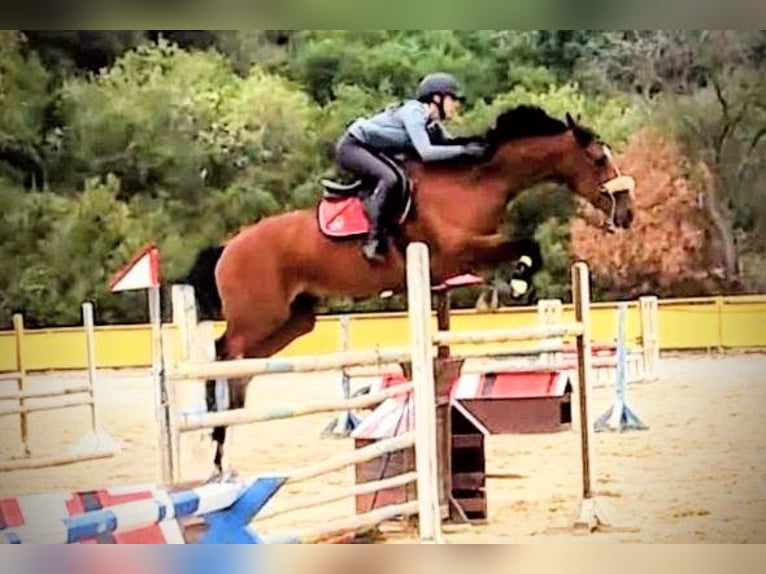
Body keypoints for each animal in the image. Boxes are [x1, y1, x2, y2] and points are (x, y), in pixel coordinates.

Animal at [182, 105, 637, 476]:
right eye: (599, 158)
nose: (627, 213)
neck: (474, 183)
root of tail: (229, 247)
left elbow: (518, 250)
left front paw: (510, 285)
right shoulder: (457, 252)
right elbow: (525, 244)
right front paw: (521, 279)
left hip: (295, 319)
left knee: (241, 366)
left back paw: (223, 442)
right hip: (260, 314)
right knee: (224, 352)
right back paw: (215, 443)